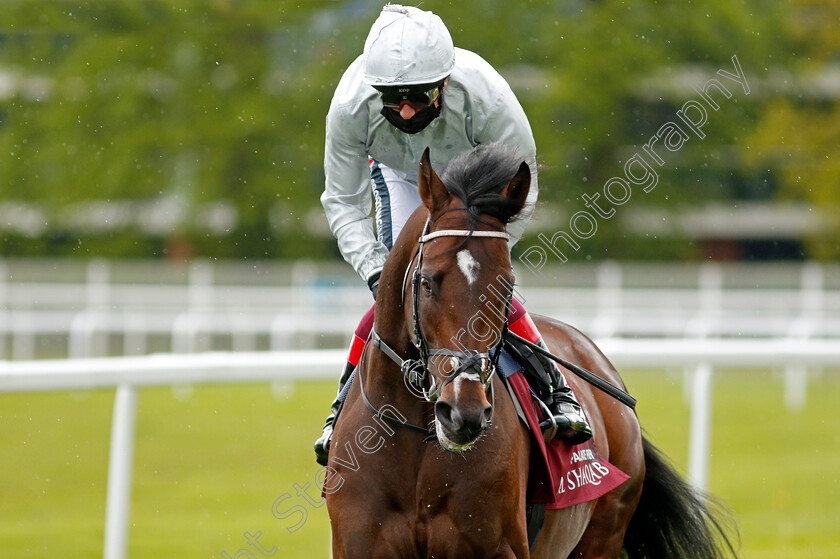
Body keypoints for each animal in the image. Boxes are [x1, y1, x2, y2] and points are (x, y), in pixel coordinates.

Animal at [324, 145, 732, 559]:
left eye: (507, 287)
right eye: (425, 282)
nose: (463, 413)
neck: (418, 440)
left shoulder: (498, 545)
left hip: (606, 527)